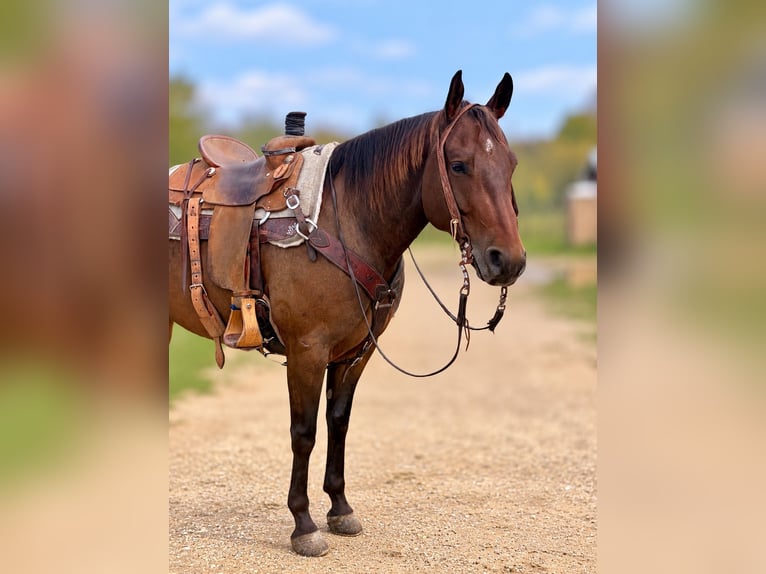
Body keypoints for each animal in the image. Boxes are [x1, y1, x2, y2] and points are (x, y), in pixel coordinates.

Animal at [169, 70, 526, 556]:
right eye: (458, 165)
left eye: (510, 164)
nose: (508, 261)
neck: (348, 223)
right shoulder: (307, 352)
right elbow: (304, 432)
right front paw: (303, 525)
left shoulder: (356, 353)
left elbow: (338, 422)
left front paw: (339, 509)